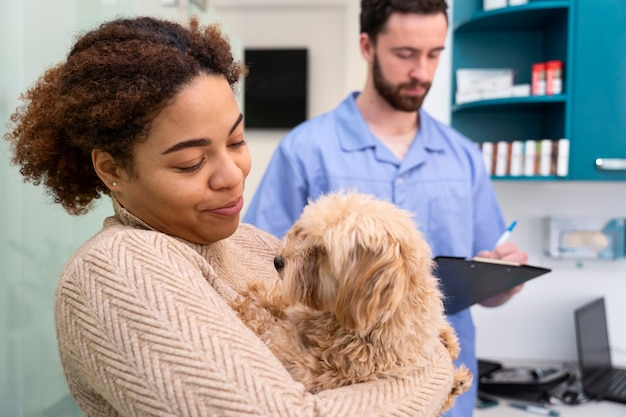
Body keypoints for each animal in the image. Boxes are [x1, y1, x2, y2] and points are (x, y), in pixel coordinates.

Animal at [232, 192, 470, 412]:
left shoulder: (323, 373)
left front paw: (250, 309)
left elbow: (279, 336)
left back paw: (458, 379)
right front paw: (256, 293)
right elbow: (283, 303)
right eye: (305, 234)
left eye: (322, 250)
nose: (278, 261)